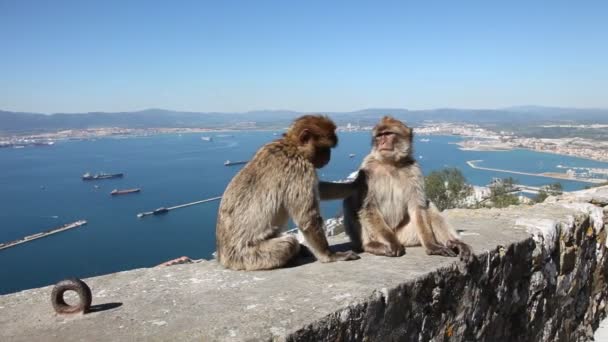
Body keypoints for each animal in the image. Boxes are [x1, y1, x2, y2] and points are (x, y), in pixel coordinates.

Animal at [216, 115, 364, 270]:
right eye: (325, 148)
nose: (329, 157)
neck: (292, 146)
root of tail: (224, 259)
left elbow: (319, 188)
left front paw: (355, 184)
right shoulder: (299, 168)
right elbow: (307, 219)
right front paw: (330, 256)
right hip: (249, 257)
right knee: (288, 243)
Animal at [344, 116, 472, 260]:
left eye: (388, 134)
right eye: (379, 136)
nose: (381, 142)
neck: (390, 163)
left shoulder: (414, 169)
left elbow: (418, 207)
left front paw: (432, 246)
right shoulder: (366, 170)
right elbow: (368, 207)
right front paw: (393, 244)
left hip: (407, 235)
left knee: (428, 206)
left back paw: (454, 243)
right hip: (382, 234)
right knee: (349, 202)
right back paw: (370, 245)